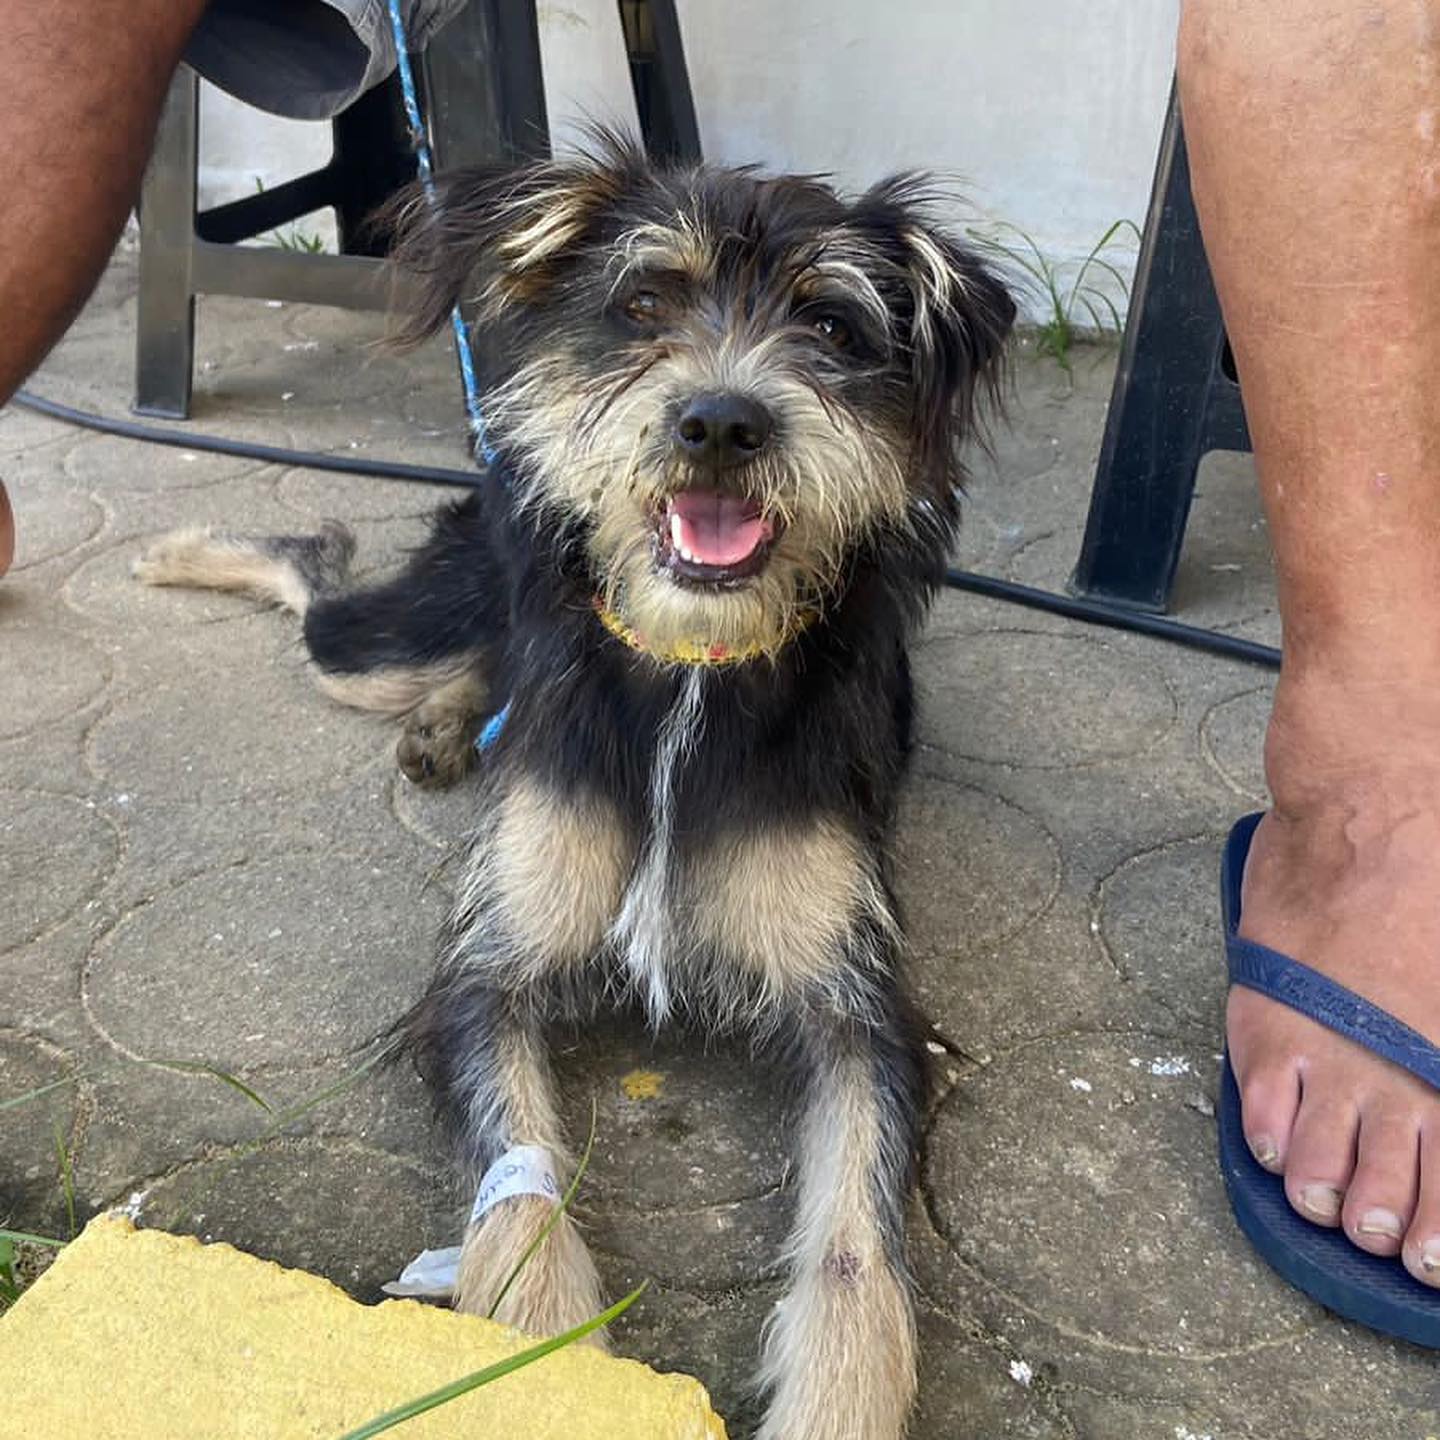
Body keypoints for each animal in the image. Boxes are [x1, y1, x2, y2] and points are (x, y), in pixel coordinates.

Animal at [135, 135, 1014, 1440]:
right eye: (642, 304)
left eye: (832, 324)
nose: (720, 421)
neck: (691, 667)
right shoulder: (480, 983)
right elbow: (523, 1204)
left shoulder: (862, 1014)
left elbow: (860, 1247)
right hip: (394, 637)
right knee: (315, 576)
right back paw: (189, 558)